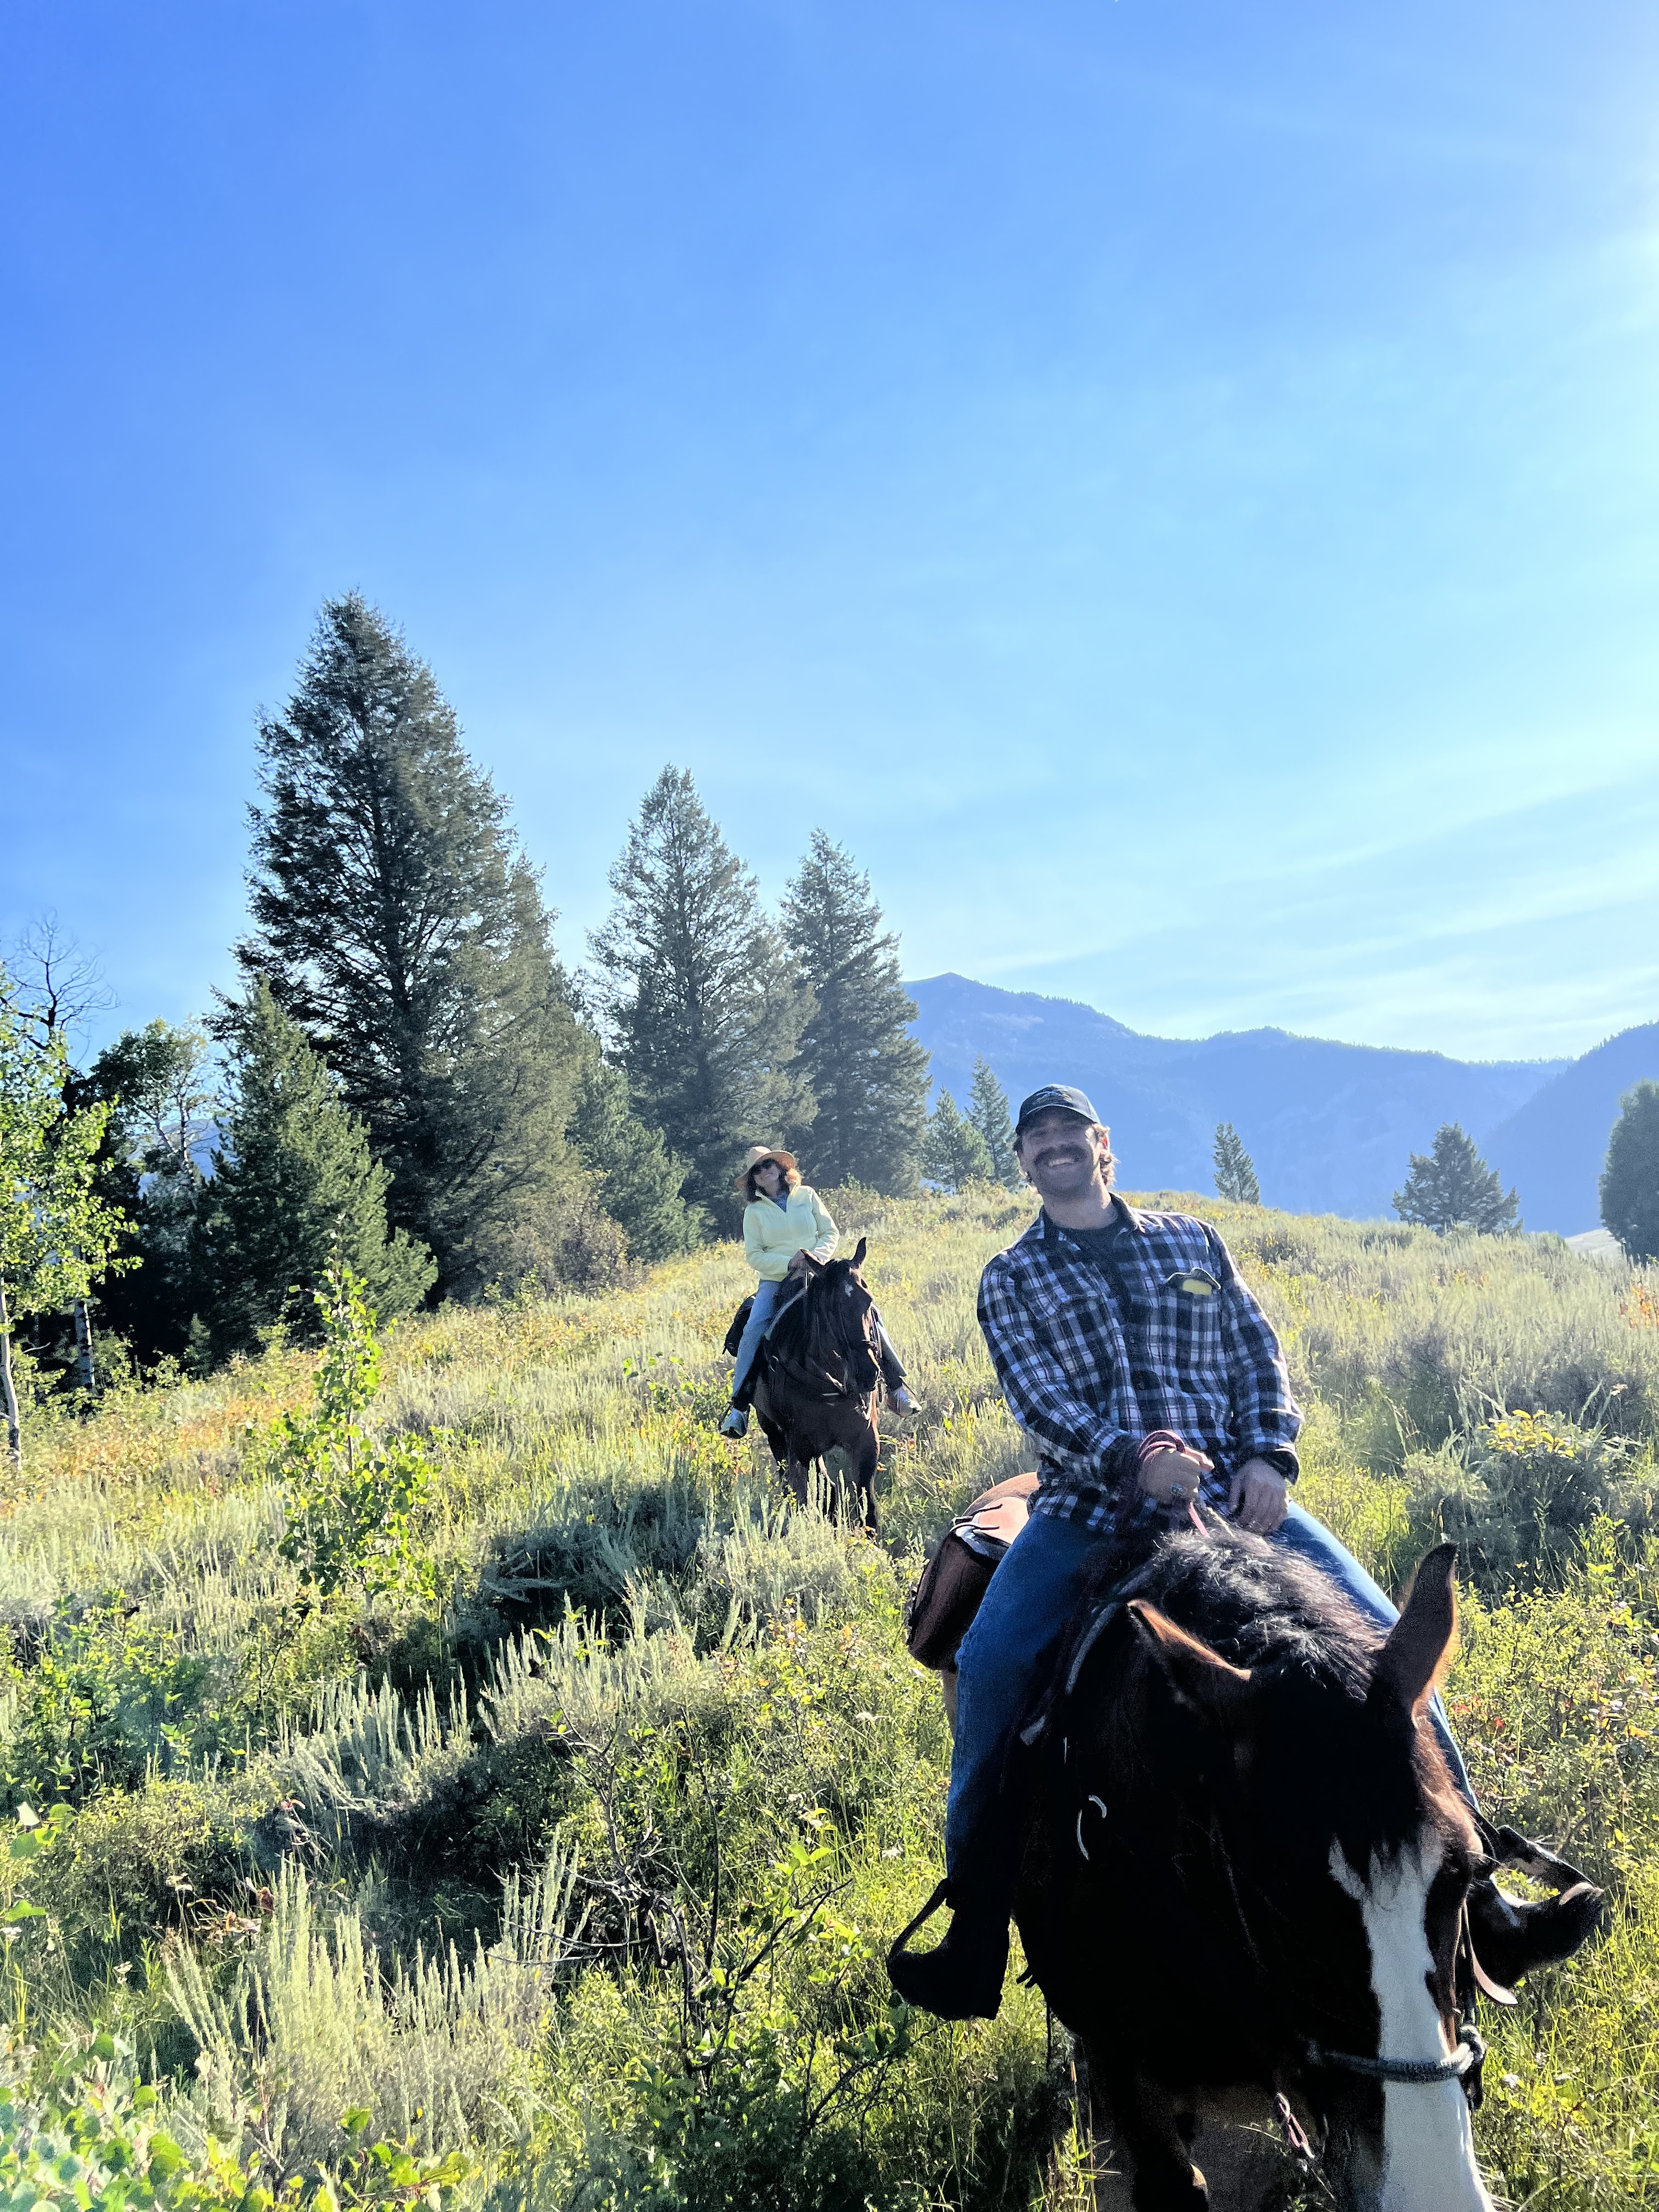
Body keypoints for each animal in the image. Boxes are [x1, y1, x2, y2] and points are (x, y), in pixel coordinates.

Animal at [752, 1238, 884, 1531]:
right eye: (831, 1308)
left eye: (868, 1300)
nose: (868, 1373)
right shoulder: (805, 1449)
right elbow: (830, 1495)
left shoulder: (867, 1441)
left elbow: (866, 1501)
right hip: (772, 1430)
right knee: (787, 1475)